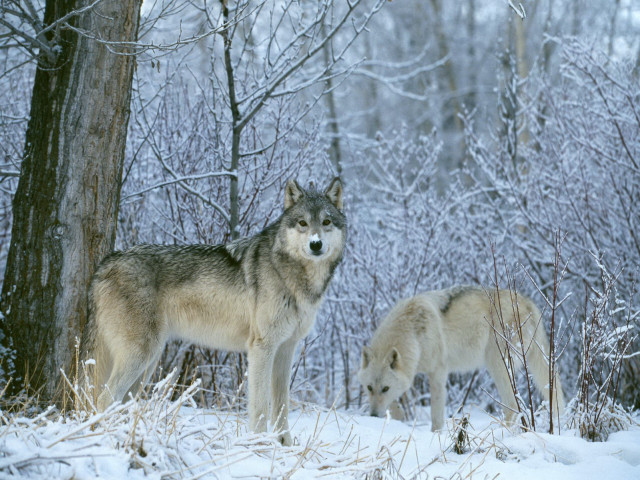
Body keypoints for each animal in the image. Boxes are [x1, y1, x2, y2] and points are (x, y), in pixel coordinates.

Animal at [82, 178, 346, 446]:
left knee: (121, 402)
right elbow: (260, 406)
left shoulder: (286, 349)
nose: (316, 244)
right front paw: (259, 445)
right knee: (104, 398)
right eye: (303, 223)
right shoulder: (262, 347)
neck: (293, 275)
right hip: (140, 357)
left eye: (326, 222)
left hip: (147, 364)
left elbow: (281, 405)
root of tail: (106, 263)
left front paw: (284, 445)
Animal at [358, 286, 565, 431]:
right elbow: (395, 404)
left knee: (512, 405)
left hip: (497, 365)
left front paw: (435, 435)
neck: (413, 333)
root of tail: (528, 302)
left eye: (385, 388)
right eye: (369, 388)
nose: (373, 415)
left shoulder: (438, 372)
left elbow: (436, 416)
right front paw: (398, 418)